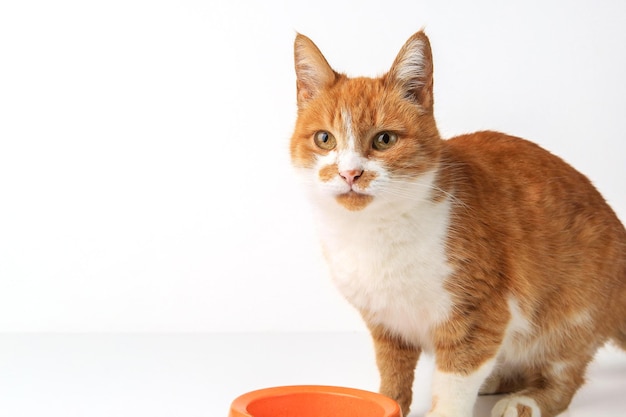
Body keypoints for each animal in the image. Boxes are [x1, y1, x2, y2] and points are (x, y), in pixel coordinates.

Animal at [290, 30, 624, 416]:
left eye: (384, 139)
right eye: (324, 139)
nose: (350, 173)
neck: (374, 233)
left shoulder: (480, 313)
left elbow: (457, 376)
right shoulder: (387, 323)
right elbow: (393, 374)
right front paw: (390, 401)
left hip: (570, 318)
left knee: (564, 378)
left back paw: (525, 399)